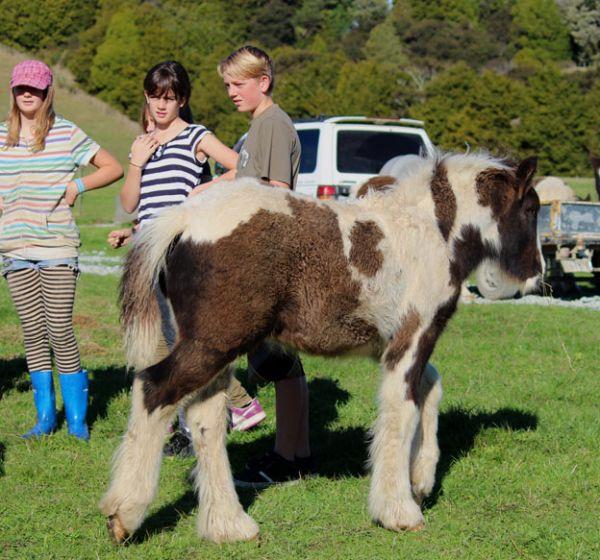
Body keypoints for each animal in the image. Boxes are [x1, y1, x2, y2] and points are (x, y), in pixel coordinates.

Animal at [99, 152, 544, 544]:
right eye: (531, 208)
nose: (535, 274)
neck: (431, 230)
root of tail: (183, 219)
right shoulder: (412, 336)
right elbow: (403, 410)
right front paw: (399, 510)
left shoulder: (397, 344)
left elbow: (429, 388)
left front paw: (421, 478)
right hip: (214, 343)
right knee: (154, 389)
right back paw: (126, 513)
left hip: (216, 349)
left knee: (205, 418)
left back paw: (228, 526)